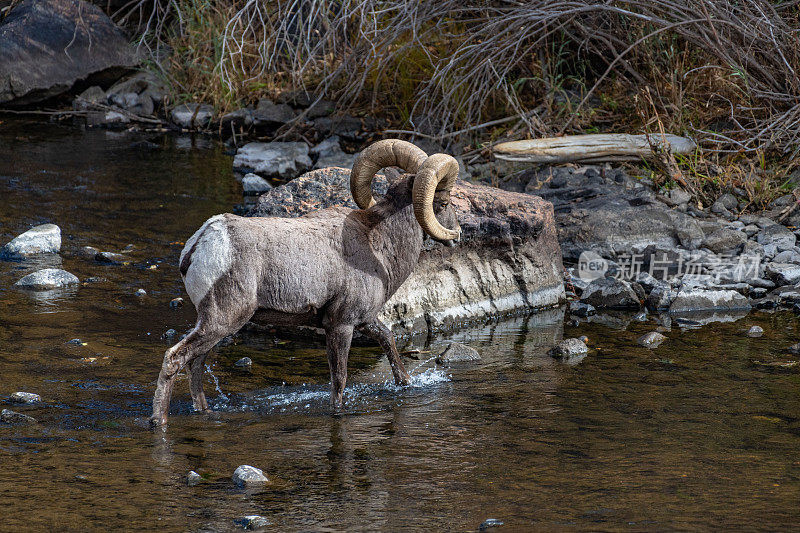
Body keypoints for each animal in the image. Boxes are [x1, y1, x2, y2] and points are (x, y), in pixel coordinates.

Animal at [152, 139, 462, 426]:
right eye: (444, 203)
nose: (457, 234)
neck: (378, 243)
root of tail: (202, 242)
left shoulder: (364, 320)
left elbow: (388, 340)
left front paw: (405, 383)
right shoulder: (341, 325)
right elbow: (339, 379)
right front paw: (338, 413)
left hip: (213, 325)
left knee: (196, 363)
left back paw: (205, 412)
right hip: (222, 321)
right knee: (175, 358)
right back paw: (159, 421)